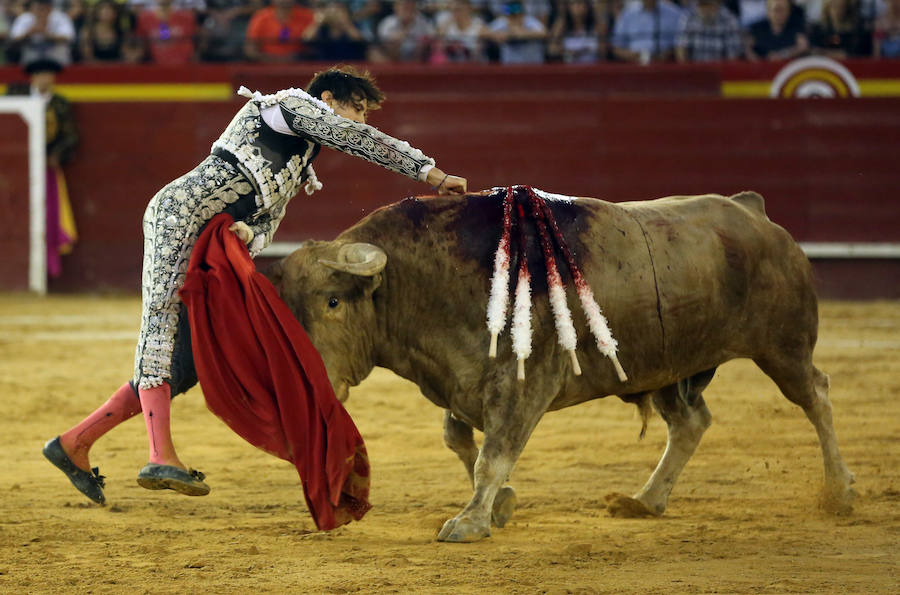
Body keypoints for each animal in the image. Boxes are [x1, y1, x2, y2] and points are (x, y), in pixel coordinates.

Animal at [268, 189, 856, 544]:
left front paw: (470, 521)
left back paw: (840, 492)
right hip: (664, 367)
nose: (312, 379)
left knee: (818, 395)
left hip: (783, 346)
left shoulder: (524, 385)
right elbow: (464, 445)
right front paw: (499, 506)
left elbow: (492, 456)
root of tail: (753, 211)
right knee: (691, 422)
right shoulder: (459, 383)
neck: (425, 281)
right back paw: (645, 501)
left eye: (333, 302)